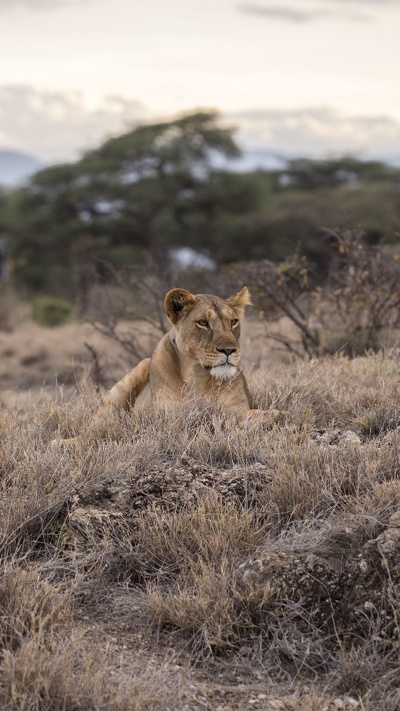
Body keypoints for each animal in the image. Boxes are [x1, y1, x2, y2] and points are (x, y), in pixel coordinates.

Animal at [60, 286, 278, 442]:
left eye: (233, 322)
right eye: (203, 323)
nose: (229, 350)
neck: (199, 375)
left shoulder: (235, 407)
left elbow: (244, 415)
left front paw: (266, 416)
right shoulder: (169, 418)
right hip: (133, 375)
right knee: (94, 431)